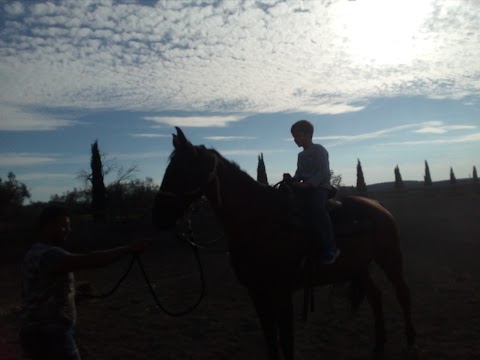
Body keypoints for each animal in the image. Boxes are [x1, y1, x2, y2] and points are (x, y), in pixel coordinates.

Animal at [152, 127, 414, 360]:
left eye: (183, 168)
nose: (159, 216)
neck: (259, 220)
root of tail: (379, 208)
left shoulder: (281, 292)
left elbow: (286, 341)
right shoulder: (257, 292)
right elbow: (270, 339)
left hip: (389, 257)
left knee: (402, 293)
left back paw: (410, 343)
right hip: (359, 267)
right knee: (375, 297)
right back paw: (379, 345)